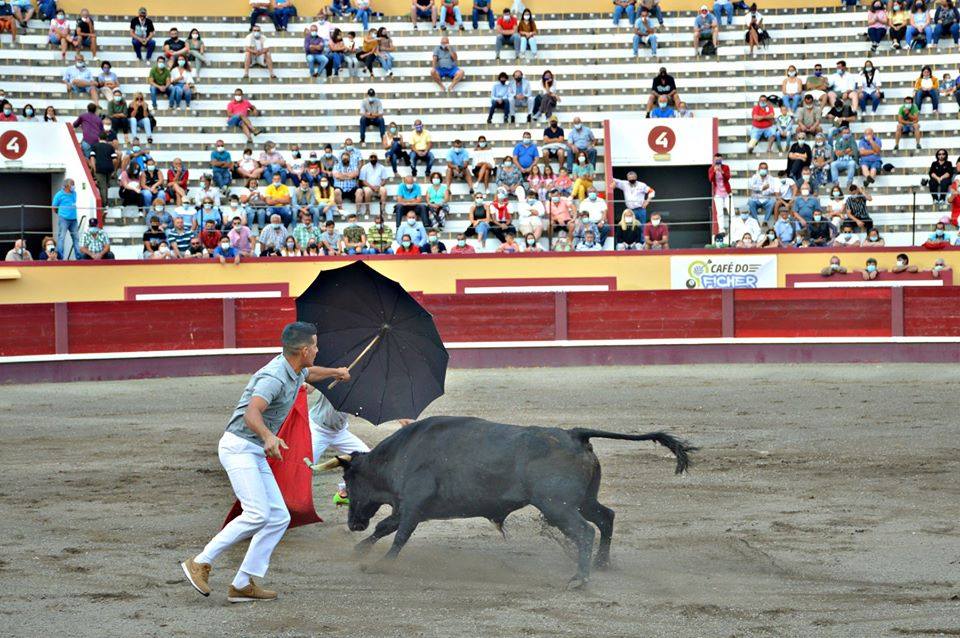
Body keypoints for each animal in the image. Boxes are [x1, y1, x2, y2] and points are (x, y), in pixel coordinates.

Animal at [306, 416, 695, 589]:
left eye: (350, 481)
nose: (353, 523)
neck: (401, 454)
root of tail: (574, 435)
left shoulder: (413, 505)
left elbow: (397, 533)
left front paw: (381, 564)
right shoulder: (409, 507)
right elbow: (388, 526)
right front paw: (360, 550)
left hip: (557, 507)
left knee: (585, 532)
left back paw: (578, 579)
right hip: (582, 500)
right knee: (606, 518)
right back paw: (601, 565)